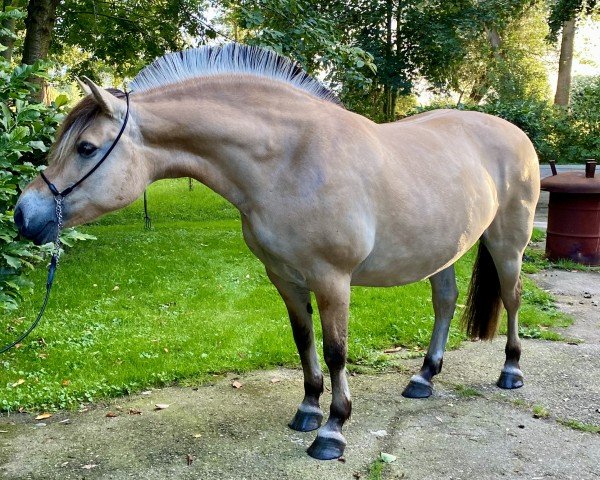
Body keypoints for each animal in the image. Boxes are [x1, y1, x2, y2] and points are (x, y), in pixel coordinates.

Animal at [12, 44, 540, 462]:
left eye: (85, 147)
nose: (22, 215)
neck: (290, 159)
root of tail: (514, 132)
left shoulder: (332, 279)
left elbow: (336, 350)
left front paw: (333, 430)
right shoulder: (284, 277)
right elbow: (303, 341)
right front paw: (308, 410)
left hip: (507, 242)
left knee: (512, 298)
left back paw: (512, 371)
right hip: (443, 250)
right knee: (445, 302)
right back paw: (424, 378)